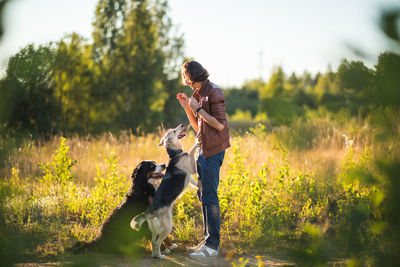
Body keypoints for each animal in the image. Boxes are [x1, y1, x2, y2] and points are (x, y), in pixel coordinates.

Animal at [131, 125, 198, 260]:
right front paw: (197, 143)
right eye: (174, 131)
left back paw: (154, 255)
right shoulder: (192, 168)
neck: (175, 153)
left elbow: (195, 183)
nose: (182, 125)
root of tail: (149, 211)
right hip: (167, 227)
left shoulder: (190, 176)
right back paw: (160, 256)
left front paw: (200, 187)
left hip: (154, 228)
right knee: (157, 242)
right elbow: (192, 151)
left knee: (153, 241)